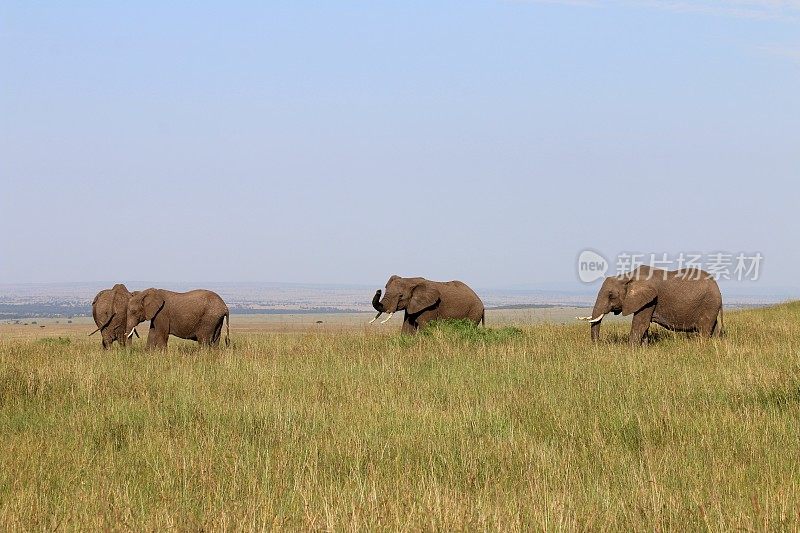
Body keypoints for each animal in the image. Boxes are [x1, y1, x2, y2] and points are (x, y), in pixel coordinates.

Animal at [580, 264, 724, 348]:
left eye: (611, 295)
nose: (598, 345)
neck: (628, 276)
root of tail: (718, 288)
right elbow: (644, 326)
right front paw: (643, 349)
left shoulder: (650, 300)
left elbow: (640, 324)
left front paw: (631, 351)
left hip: (709, 303)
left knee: (704, 329)